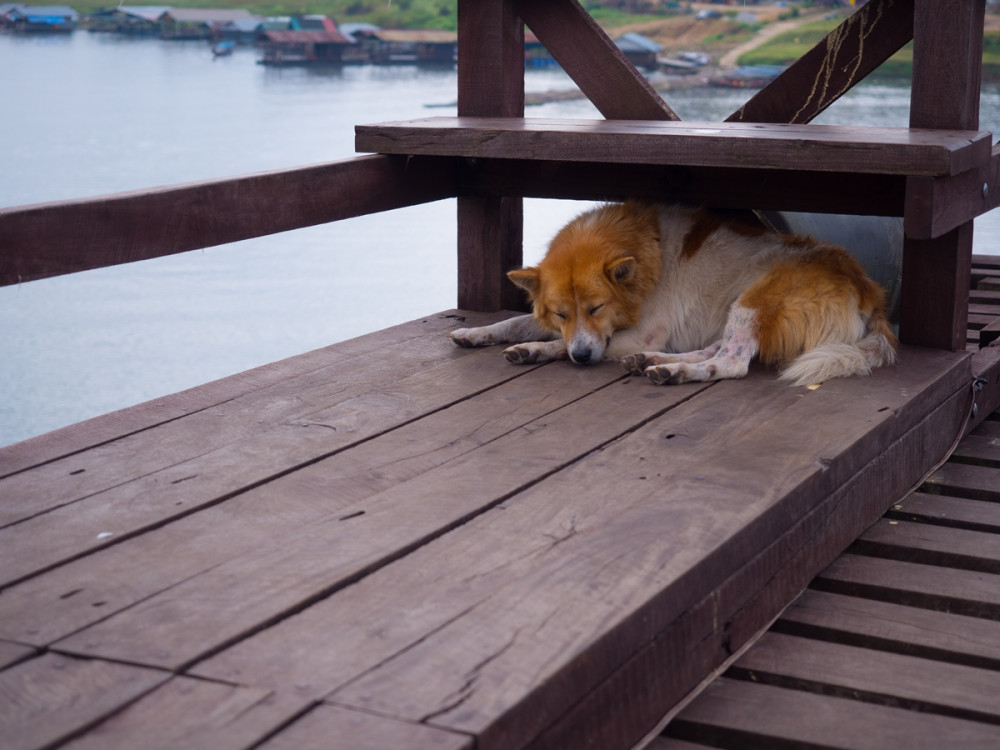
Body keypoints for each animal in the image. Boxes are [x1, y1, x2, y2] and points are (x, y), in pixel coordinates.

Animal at [454, 201, 900, 384]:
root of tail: (868, 291)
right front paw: (477, 333)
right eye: (561, 313)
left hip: (755, 300)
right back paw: (653, 362)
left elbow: (559, 345)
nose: (582, 357)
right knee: (717, 350)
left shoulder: (635, 333)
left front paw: (538, 350)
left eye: (597, 308)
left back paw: (674, 371)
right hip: (738, 310)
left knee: (731, 363)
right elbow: (516, 322)